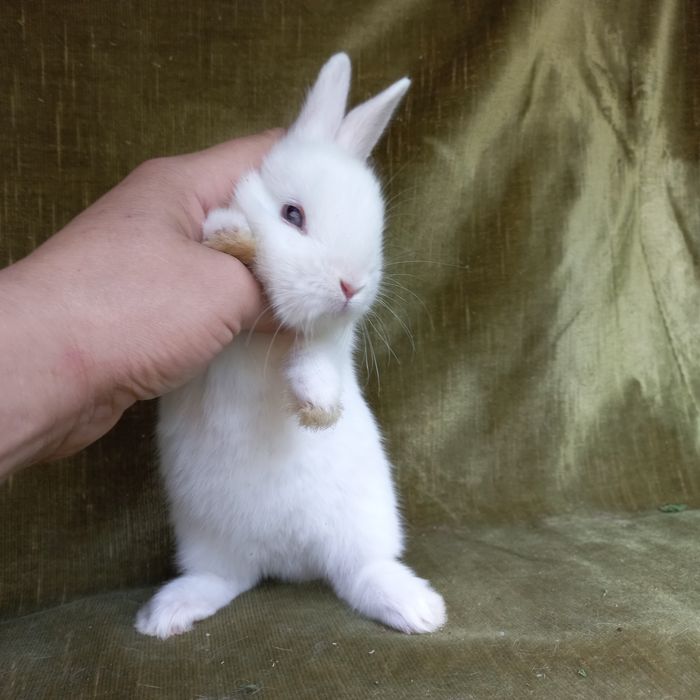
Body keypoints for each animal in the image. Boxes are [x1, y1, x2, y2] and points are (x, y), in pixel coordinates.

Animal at [135, 53, 446, 640]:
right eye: (292, 215)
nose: (352, 285)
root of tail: (290, 559)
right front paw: (231, 236)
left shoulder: (327, 343)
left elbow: (316, 360)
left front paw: (318, 410)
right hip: (205, 537)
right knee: (224, 579)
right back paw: (165, 615)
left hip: (365, 523)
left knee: (362, 571)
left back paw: (417, 610)